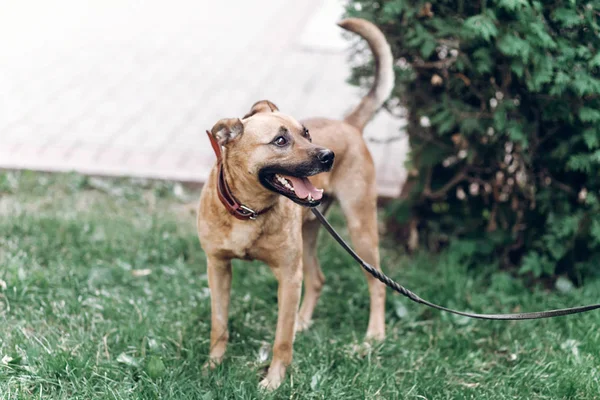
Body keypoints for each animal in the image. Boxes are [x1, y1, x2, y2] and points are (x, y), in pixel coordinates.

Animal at [197, 17, 394, 390]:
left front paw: (273, 381)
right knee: (317, 279)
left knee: (377, 283)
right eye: (279, 140)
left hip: (360, 229)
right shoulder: (218, 268)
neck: (250, 212)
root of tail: (348, 124)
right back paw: (305, 321)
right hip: (310, 234)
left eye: (306, 133)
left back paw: (374, 335)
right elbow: (219, 325)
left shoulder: (288, 277)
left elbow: (281, 340)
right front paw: (211, 367)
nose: (328, 157)